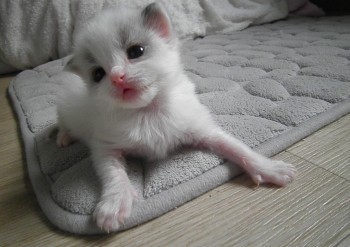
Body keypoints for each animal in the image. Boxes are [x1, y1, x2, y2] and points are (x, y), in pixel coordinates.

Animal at [56, 2, 296, 233]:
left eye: (136, 52)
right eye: (98, 74)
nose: (117, 77)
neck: (148, 110)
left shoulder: (201, 127)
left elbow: (237, 147)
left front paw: (269, 168)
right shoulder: (104, 145)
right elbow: (112, 172)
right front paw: (115, 202)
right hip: (64, 109)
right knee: (62, 123)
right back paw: (63, 137)